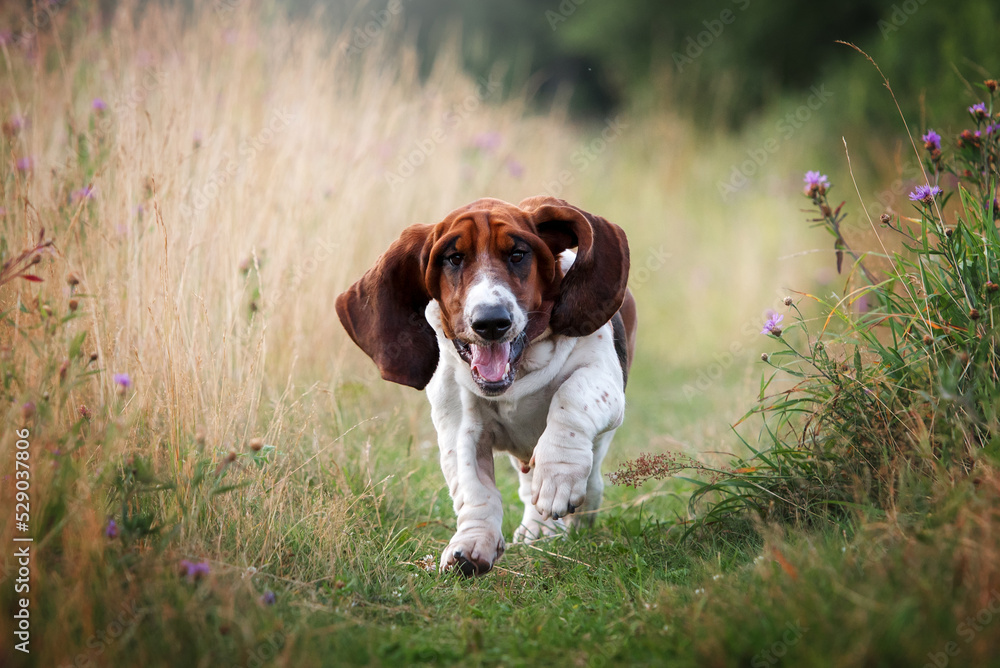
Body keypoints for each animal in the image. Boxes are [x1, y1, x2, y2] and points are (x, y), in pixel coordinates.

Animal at [336, 194, 632, 576]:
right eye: (454, 258)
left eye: (518, 254)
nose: (491, 321)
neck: (520, 371)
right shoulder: (460, 428)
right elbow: (475, 488)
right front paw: (473, 543)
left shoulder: (601, 377)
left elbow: (571, 396)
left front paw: (558, 476)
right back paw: (537, 530)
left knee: (591, 474)